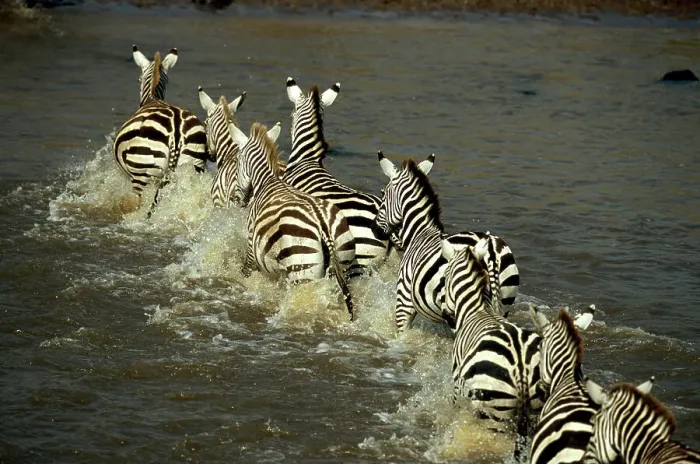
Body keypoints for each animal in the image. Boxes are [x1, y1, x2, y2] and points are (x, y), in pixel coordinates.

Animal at [114, 45, 208, 213]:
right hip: (193, 170)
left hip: (142, 173)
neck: (152, 98)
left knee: (140, 204)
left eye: (139, 79)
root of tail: (176, 130)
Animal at [227, 119, 357, 319]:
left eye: (235, 161)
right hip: (341, 264)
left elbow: (246, 271)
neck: (267, 181)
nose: (237, 199)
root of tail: (323, 226)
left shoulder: (251, 246)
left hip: (302, 271)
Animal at [371, 152, 519, 332]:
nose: (374, 229)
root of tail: (490, 249)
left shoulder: (403, 301)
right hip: (505, 301)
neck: (420, 233)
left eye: (383, 194)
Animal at [441, 237, 541, 462]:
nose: (446, 313)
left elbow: (453, 410)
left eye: (444, 276)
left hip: (494, 414)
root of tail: (521, 366)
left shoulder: (457, 385)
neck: (478, 310)